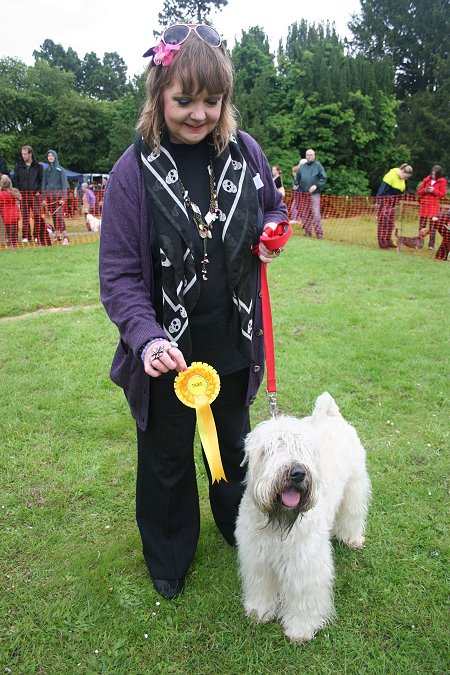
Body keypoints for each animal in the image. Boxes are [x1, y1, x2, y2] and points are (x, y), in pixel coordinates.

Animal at [234, 394, 370, 648]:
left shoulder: (305, 563)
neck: (278, 521)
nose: (297, 473)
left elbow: (303, 598)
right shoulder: (258, 557)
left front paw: (300, 629)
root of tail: (331, 414)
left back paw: (353, 538)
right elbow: (261, 586)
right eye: (268, 450)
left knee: (352, 514)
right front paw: (260, 612)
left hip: (355, 486)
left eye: (304, 449)